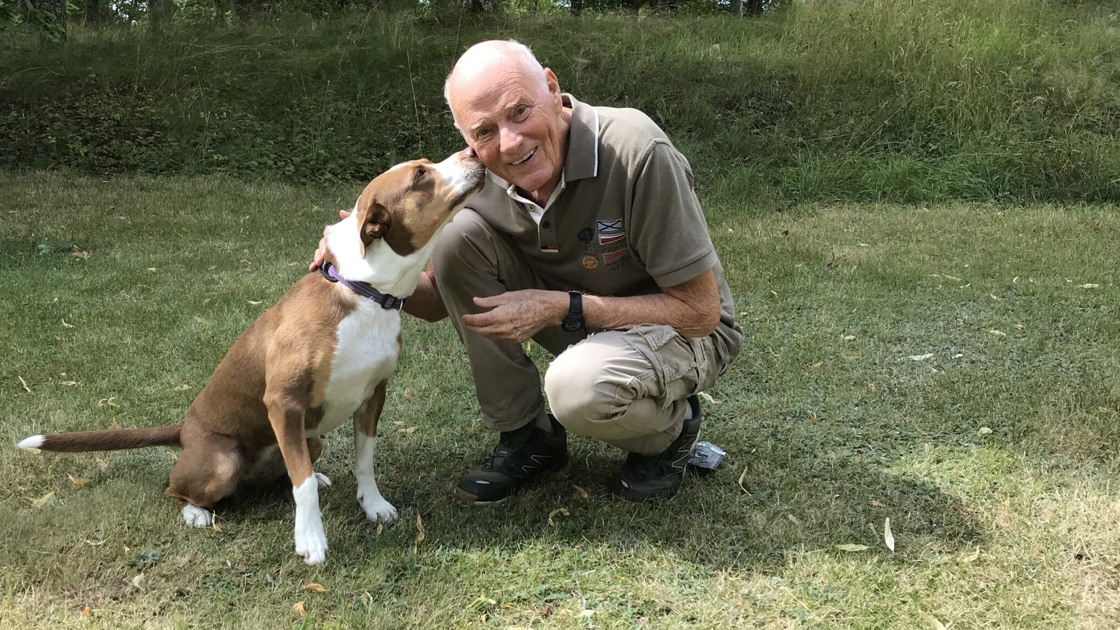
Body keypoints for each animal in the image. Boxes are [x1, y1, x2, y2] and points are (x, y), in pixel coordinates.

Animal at [16, 147, 481, 564]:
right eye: (420, 175)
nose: (474, 152)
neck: (363, 292)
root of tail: (185, 430)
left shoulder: (374, 393)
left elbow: (362, 460)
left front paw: (373, 505)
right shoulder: (283, 402)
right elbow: (302, 487)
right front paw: (310, 541)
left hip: (311, 440)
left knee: (291, 473)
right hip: (222, 461)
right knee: (178, 488)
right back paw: (196, 513)